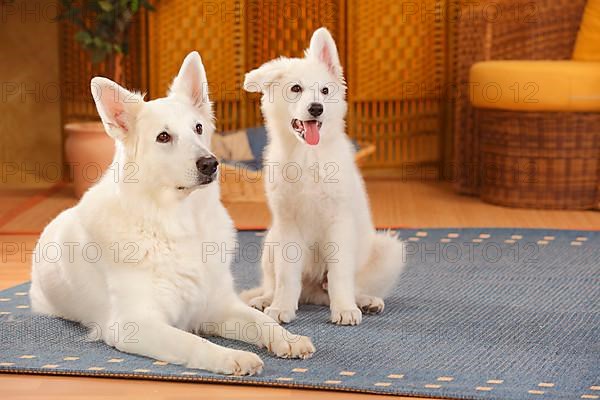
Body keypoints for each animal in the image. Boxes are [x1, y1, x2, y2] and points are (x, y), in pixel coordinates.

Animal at [29, 50, 314, 376]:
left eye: (198, 128)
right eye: (163, 137)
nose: (210, 163)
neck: (178, 223)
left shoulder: (218, 305)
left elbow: (262, 321)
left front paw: (287, 339)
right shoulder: (134, 325)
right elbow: (194, 341)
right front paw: (232, 357)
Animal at [241, 29, 406, 326]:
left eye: (325, 91)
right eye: (296, 89)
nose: (316, 108)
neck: (308, 155)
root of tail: (314, 293)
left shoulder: (339, 221)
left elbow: (340, 274)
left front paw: (345, 309)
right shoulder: (288, 225)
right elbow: (286, 276)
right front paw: (281, 307)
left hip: (387, 249)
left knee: (352, 285)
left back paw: (365, 301)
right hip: (271, 240)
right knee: (274, 283)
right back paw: (265, 300)